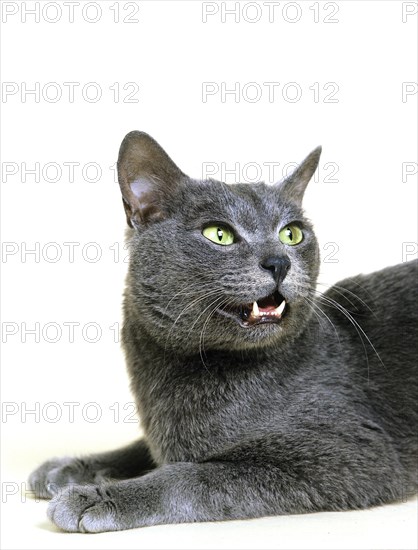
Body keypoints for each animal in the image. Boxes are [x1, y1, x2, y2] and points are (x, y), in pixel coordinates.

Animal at [29, 130, 418, 536]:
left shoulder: (352, 453)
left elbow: (195, 475)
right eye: (219, 234)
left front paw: (97, 496)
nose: (279, 261)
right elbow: (140, 448)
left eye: (292, 233)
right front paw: (68, 467)